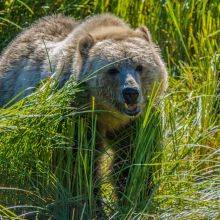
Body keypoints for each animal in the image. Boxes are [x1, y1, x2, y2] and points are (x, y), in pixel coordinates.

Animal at [0, 13, 167, 217]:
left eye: (139, 66)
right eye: (112, 69)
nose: (131, 92)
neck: (109, 115)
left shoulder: (137, 122)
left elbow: (134, 157)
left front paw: (136, 199)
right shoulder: (78, 117)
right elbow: (79, 163)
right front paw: (91, 207)